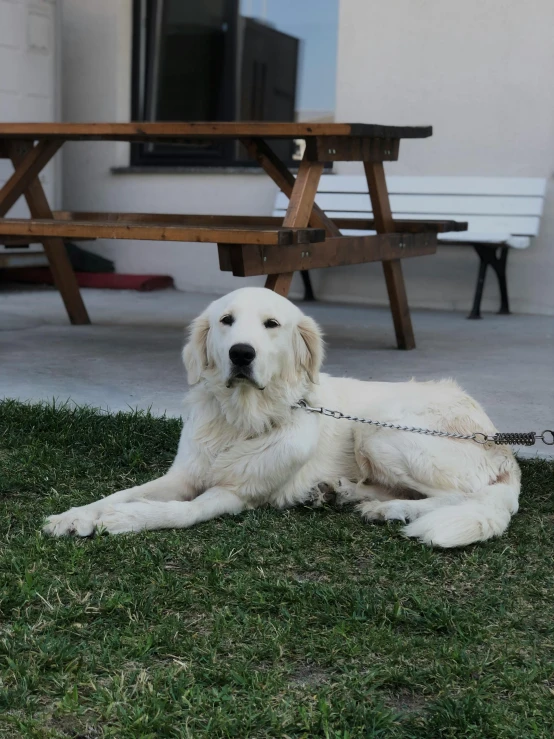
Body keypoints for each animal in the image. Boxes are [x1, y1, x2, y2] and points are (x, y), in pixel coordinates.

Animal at [43, 286, 516, 548]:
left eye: (271, 324)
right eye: (226, 321)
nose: (241, 353)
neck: (241, 421)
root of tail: (503, 446)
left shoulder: (236, 494)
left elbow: (181, 512)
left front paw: (129, 519)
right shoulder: (182, 476)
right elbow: (120, 493)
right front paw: (76, 515)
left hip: (380, 430)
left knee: (464, 496)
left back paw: (391, 510)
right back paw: (339, 492)